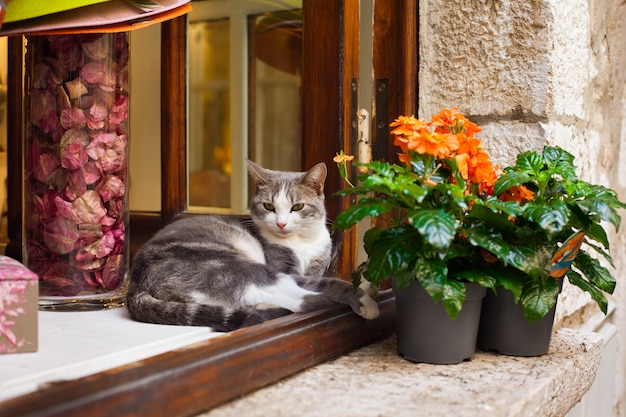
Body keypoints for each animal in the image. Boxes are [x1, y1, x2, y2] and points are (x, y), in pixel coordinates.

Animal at [127, 160, 378, 332]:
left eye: (297, 207)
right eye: (268, 206)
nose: (281, 223)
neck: (301, 241)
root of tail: (135, 283)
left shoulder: (317, 262)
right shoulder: (284, 267)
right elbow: (329, 282)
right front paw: (363, 300)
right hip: (232, 264)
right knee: (298, 300)